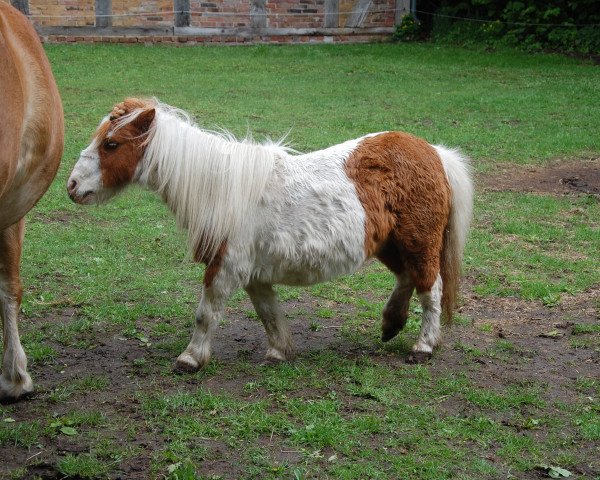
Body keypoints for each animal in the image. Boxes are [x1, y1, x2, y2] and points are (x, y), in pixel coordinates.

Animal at [68, 98, 474, 372]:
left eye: (111, 144)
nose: (72, 186)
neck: (220, 187)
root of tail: (434, 152)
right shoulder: (254, 274)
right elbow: (268, 313)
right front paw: (280, 351)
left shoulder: (225, 267)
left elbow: (206, 313)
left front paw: (191, 358)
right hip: (390, 244)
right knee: (408, 278)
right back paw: (391, 323)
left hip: (418, 243)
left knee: (430, 289)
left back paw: (423, 345)